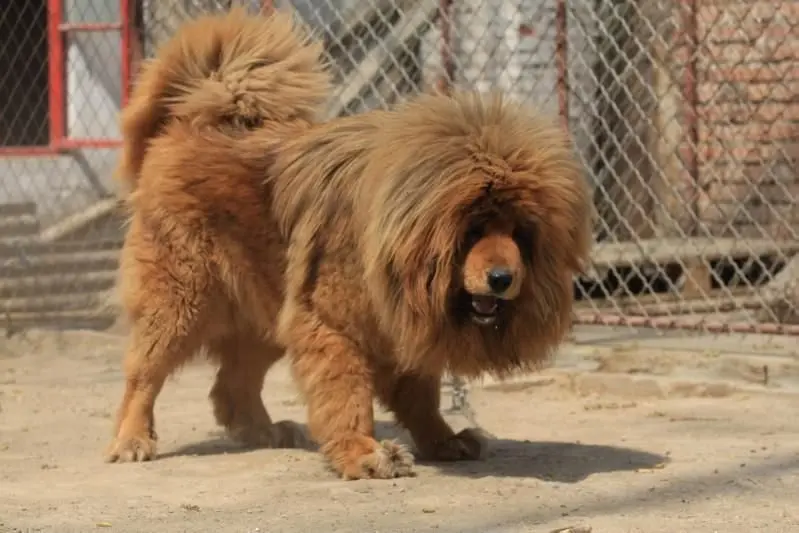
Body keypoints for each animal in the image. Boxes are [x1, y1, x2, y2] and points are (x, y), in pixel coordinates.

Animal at [108, 6, 592, 480]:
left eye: (520, 232)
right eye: (473, 228)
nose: (502, 278)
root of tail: (189, 122)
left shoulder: (396, 324)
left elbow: (422, 395)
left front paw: (442, 440)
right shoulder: (331, 323)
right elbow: (348, 392)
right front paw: (364, 453)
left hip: (269, 308)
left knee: (232, 384)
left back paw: (266, 431)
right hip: (181, 302)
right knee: (143, 374)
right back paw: (133, 440)